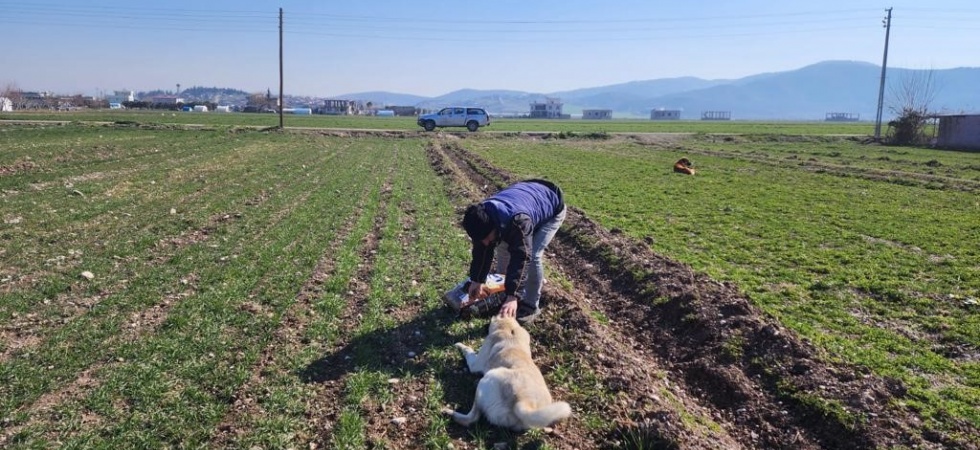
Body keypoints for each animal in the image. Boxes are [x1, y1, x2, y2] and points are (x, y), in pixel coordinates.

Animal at [442, 314, 572, 430]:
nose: (484, 324)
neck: (510, 329)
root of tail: (523, 402)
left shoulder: (475, 363)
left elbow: (468, 350)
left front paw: (459, 345)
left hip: (489, 377)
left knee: (471, 419)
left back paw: (449, 413)